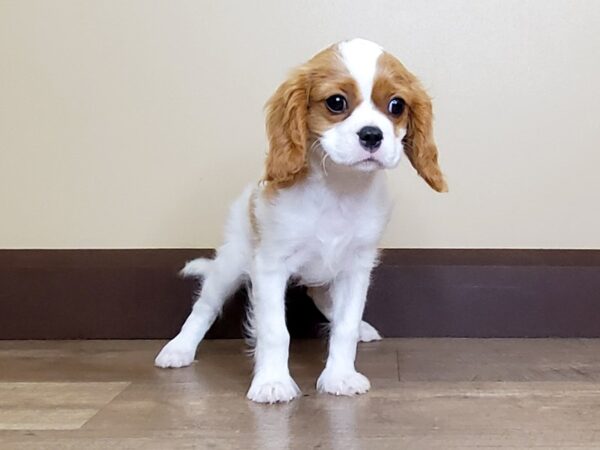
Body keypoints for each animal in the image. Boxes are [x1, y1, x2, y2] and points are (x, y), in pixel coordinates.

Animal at [155, 38, 446, 404]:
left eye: (396, 106)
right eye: (336, 102)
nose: (372, 135)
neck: (338, 188)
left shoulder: (356, 267)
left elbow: (345, 326)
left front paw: (340, 376)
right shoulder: (270, 266)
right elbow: (275, 331)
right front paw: (272, 382)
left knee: (322, 299)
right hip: (231, 262)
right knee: (204, 306)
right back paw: (179, 349)